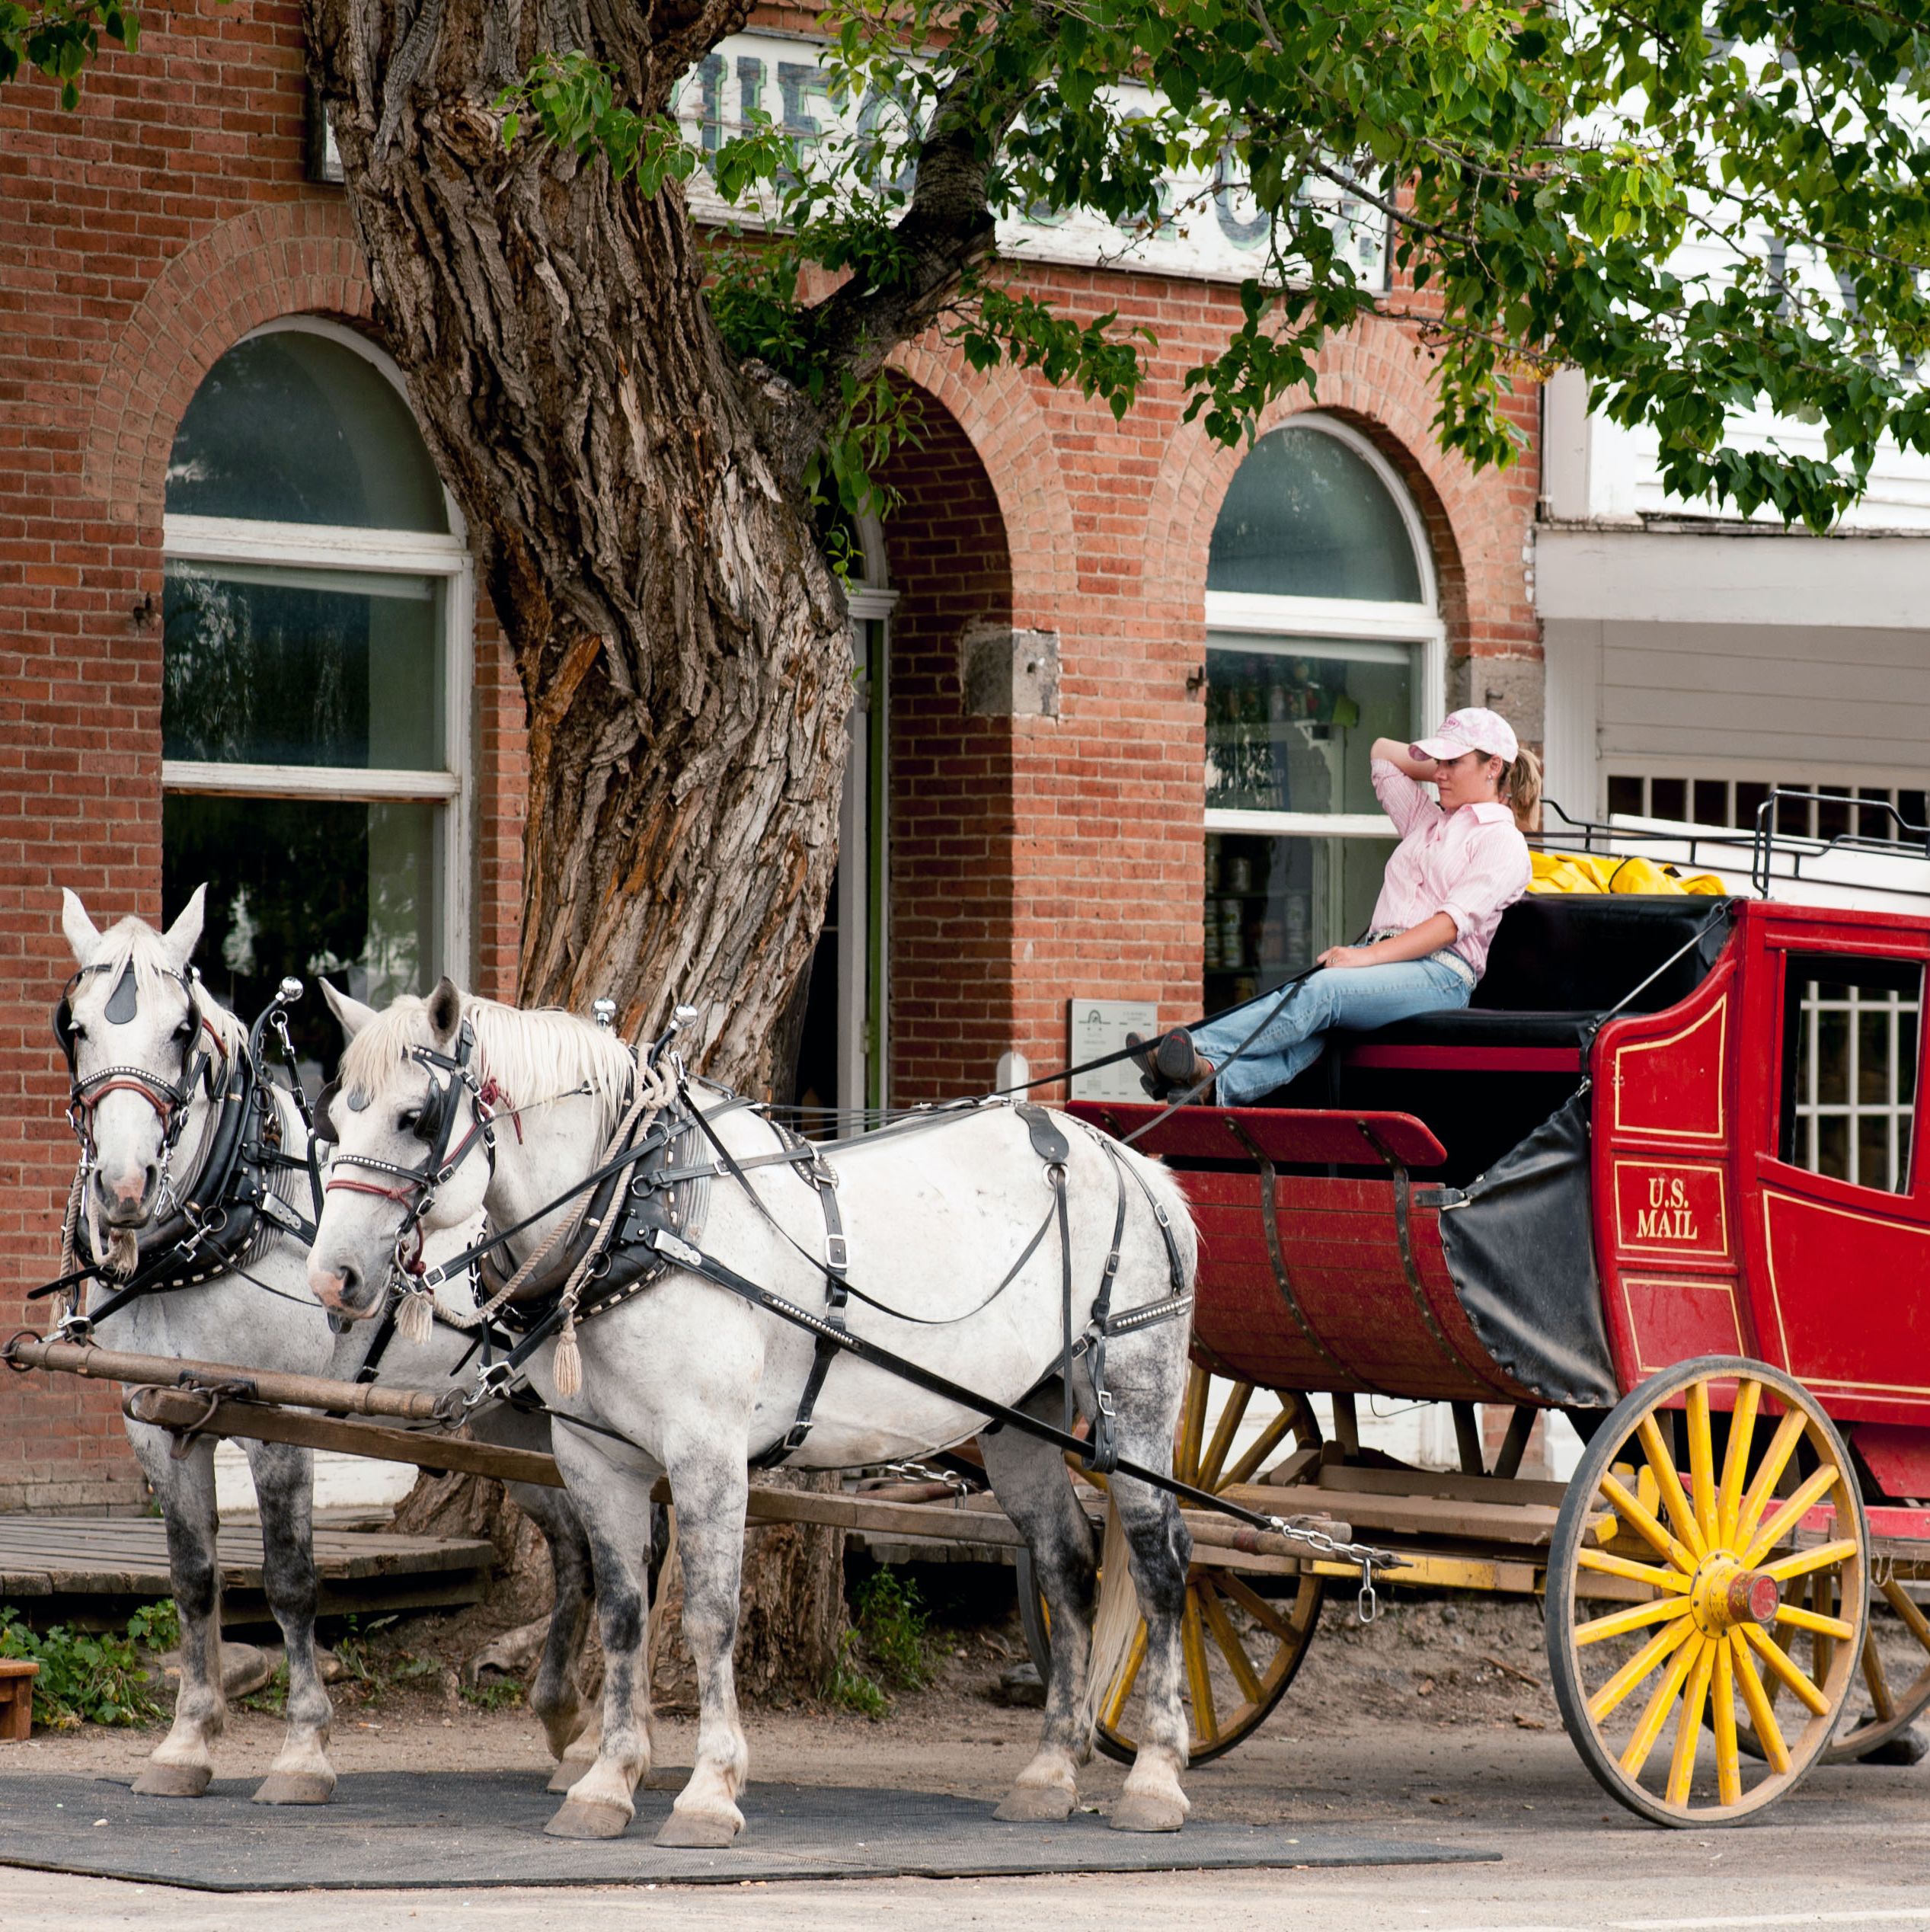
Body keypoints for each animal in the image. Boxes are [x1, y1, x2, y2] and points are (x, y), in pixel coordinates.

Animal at [53, 896, 606, 1800]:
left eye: (181, 1030)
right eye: (75, 1026)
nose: (126, 1189)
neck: (230, 1214)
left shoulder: (277, 1420)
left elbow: (288, 1580)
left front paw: (302, 1750)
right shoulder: (155, 1422)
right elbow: (192, 1578)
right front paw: (186, 1742)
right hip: (515, 1423)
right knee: (578, 1547)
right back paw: (571, 1720)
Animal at [307, 989, 1197, 1847]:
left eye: (416, 1118)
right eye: (334, 1120)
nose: (331, 1278)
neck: (638, 1208)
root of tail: (1130, 1163)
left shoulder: (708, 1449)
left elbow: (707, 1615)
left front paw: (709, 1791)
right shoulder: (596, 1457)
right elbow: (623, 1615)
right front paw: (607, 1782)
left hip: (1137, 1394)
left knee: (1160, 1565)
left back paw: (1155, 1775)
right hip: (1018, 1421)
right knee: (1066, 1566)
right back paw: (1051, 1770)